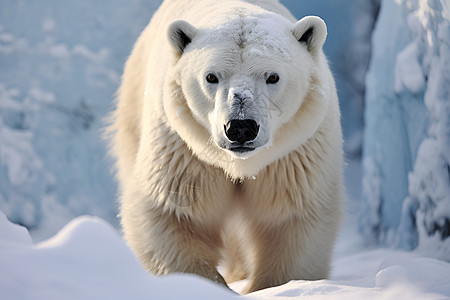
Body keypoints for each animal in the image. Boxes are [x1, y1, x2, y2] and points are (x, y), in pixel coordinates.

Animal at [108, 0, 344, 292]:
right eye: (211, 76)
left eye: (273, 77)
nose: (241, 128)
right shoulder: (183, 150)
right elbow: (172, 213)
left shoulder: (293, 155)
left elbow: (290, 218)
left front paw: (276, 286)